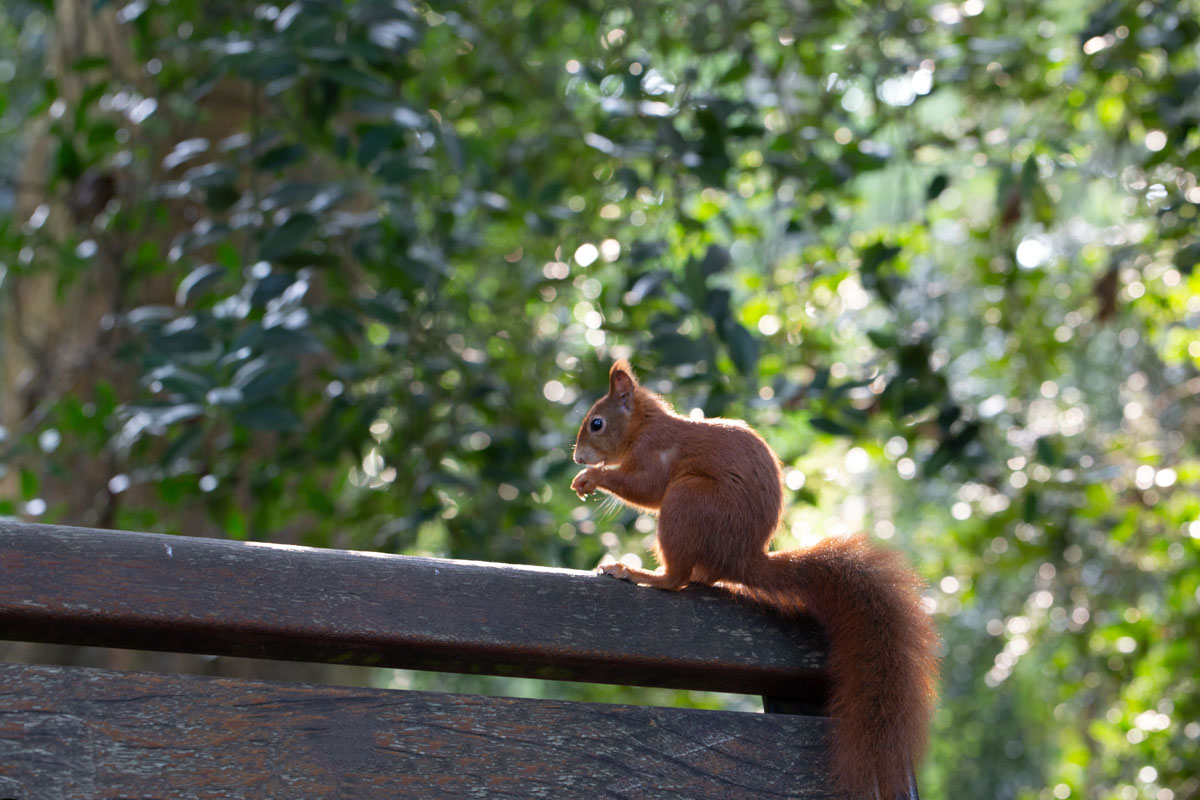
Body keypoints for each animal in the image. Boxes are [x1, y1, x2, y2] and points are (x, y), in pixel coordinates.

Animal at [568, 362, 936, 800]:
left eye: (597, 423)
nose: (577, 457)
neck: (643, 426)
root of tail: (742, 558)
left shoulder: (655, 455)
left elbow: (645, 488)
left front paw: (592, 477)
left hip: (688, 499)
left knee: (676, 579)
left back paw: (639, 573)